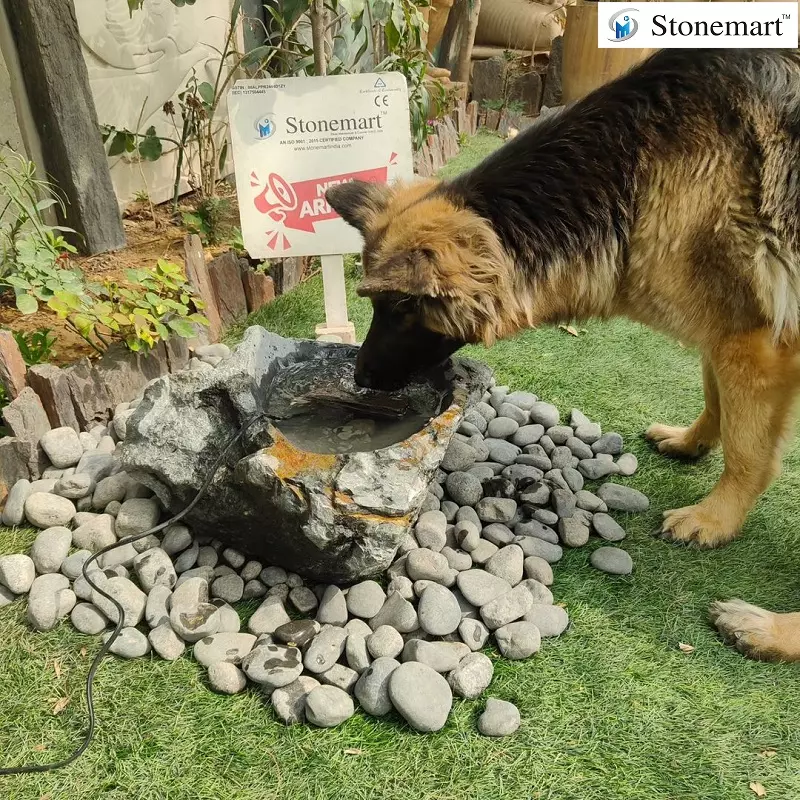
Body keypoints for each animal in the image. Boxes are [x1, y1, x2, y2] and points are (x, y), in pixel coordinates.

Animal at [324, 50, 800, 664]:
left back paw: (764, 628)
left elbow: (748, 449)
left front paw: (715, 519)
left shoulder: (753, 340)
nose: (359, 376)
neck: (632, 171)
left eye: (402, 308)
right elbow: (715, 396)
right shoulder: (726, 330)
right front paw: (692, 442)